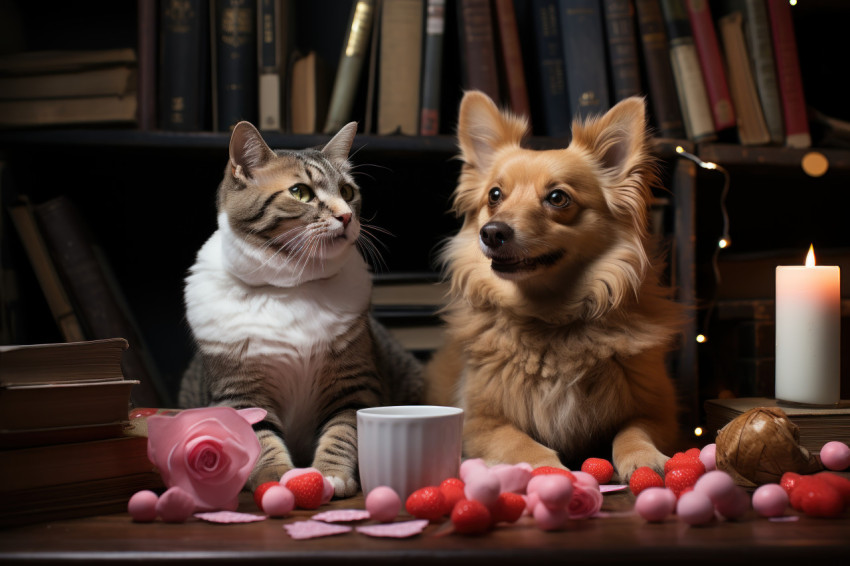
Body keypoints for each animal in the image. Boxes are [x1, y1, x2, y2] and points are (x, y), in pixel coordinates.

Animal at [178, 122, 420, 500]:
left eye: (348, 191)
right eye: (300, 192)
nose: (346, 216)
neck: (291, 286)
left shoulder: (354, 382)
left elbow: (343, 430)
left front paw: (333, 474)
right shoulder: (240, 392)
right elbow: (260, 437)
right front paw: (276, 476)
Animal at [424, 91, 684, 482]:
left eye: (558, 198)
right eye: (494, 196)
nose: (492, 232)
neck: (550, 317)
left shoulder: (659, 411)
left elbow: (632, 431)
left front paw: (644, 456)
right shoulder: (479, 423)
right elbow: (520, 442)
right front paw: (549, 470)